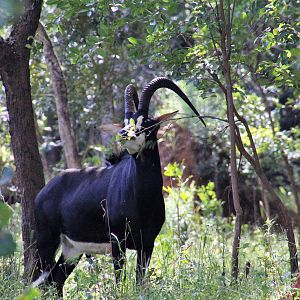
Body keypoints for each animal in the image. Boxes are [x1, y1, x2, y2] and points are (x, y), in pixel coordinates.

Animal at [33, 76, 206, 296]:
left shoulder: (147, 244)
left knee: (55, 282)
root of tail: (43, 192)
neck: (142, 198)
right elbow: (119, 283)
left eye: (146, 121)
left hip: (72, 249)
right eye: (125, 122)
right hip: (46, 242)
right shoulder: (118, 243)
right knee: (37, 280)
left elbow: (139, 282)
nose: (124, 134)